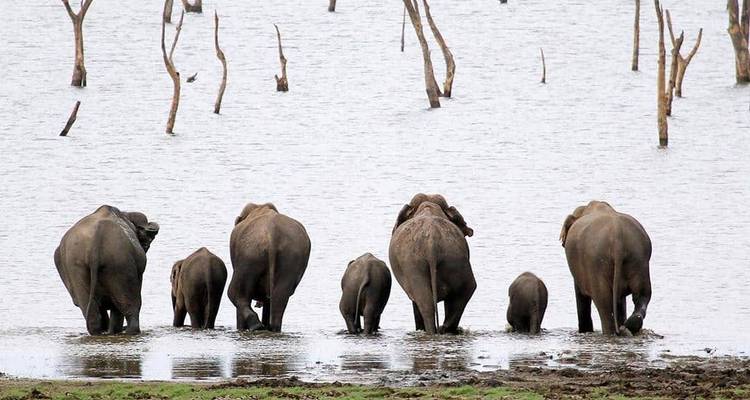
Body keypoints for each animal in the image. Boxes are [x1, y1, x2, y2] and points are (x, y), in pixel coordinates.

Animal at [54, 205, 159, 335]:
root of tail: (95, 244)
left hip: (76, 266)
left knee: (90, 310)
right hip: (120, 264)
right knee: (130, 307)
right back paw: (129, 331)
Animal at [228, 203, 311, 332]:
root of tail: (273, 234)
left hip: (249, 255)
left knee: (236, 293)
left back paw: (257, 326)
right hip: (291, 258)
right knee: (279, 297)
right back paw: (272, 328)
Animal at [389, 193, 476, 334]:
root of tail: (431, 244)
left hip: (413, 266)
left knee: (425, 303)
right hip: (453, 259)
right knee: (464, 291)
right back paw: (443, 329)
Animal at [560, 200, 652, 336]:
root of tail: (618, 238)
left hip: (596, 265)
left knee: (604, 305)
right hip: (639, 260)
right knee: (642, 295)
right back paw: (627, 327)